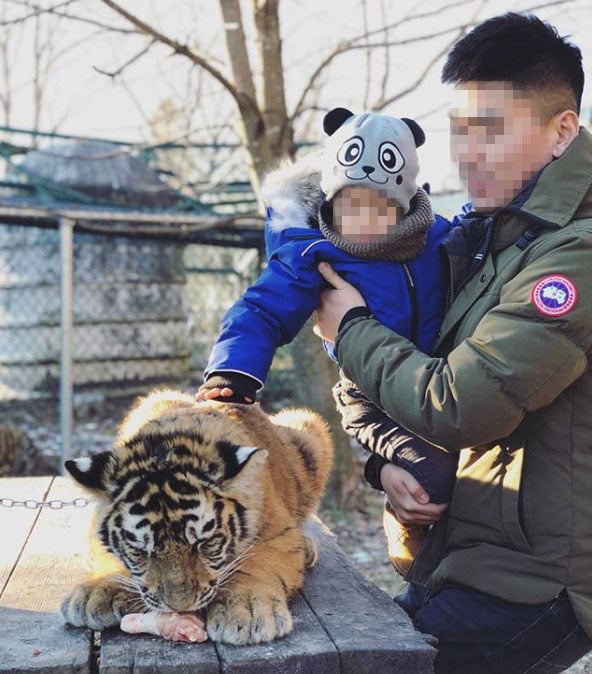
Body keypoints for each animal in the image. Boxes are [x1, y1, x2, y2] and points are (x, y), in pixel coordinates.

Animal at [62, 392, 336, 644]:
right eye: (140, 550)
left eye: (205, 543)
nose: (180, 606)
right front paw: (97, 592)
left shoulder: (279, 534)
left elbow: (257, 564)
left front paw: (245, 612)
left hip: (307, 432)